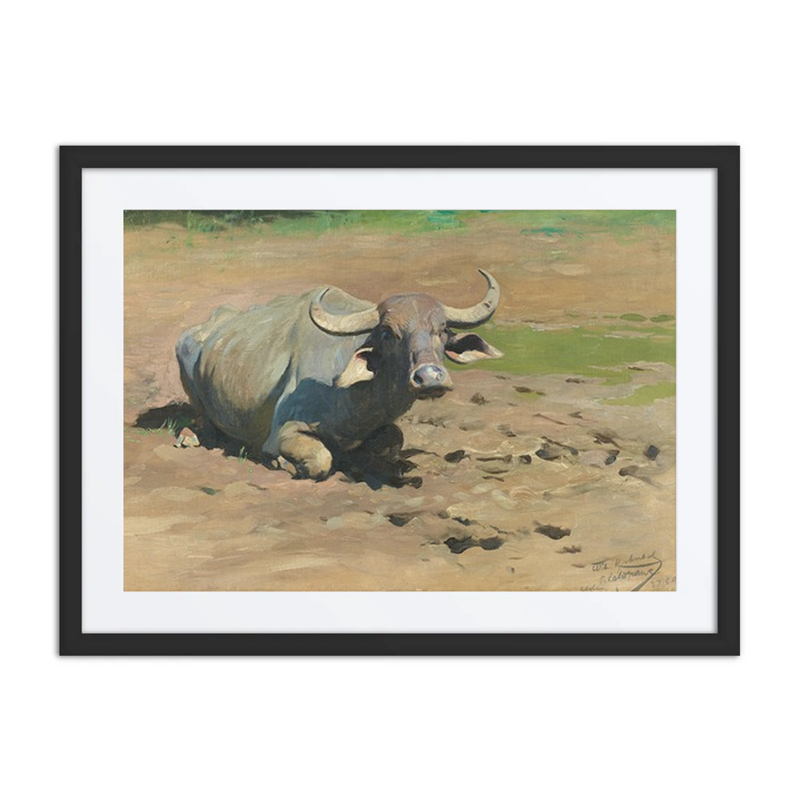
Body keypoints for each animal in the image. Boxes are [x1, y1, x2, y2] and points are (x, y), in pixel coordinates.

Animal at [176, 270, 503, 480]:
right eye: (388, 333)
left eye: (443, 329)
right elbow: (321, 459)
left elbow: (393, 439)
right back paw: (190, 437)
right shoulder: (284, 431)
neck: (355, 398)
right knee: (200, 418)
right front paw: (282, 462)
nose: (430, 377)